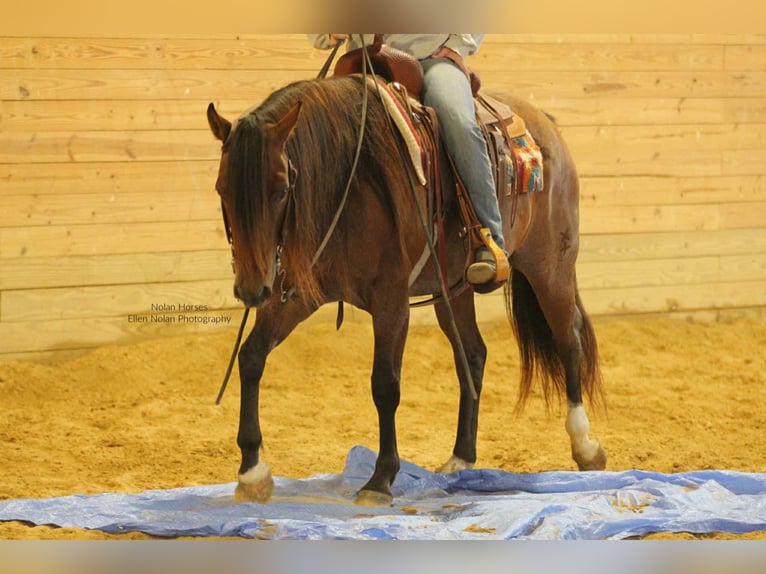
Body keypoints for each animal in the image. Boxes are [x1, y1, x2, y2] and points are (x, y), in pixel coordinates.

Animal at [206, 73, 606, 505]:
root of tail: (545, 123)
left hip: (550, 265)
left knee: (568, 339)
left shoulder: (391, 298)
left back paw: (585, 445)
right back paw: (461, 458)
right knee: (473, 354)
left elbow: (385, 385)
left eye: (280, 190)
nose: (252, 290)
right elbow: (251, 357)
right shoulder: (296, 296)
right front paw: (252, 472)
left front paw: (380, 479)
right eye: (222, 190)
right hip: (455, 289)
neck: (347, 179)